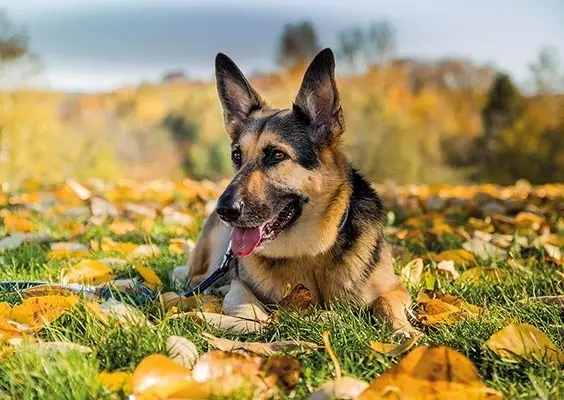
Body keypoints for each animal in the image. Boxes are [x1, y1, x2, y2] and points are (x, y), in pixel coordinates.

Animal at [188, 48, 416, 335]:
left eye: (277, 155)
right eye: (237, 156)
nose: (224, 210)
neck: (311, 253)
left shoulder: (396, 288)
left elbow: (387, 301)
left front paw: (401, 329)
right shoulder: (242, 286)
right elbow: (247, 304)